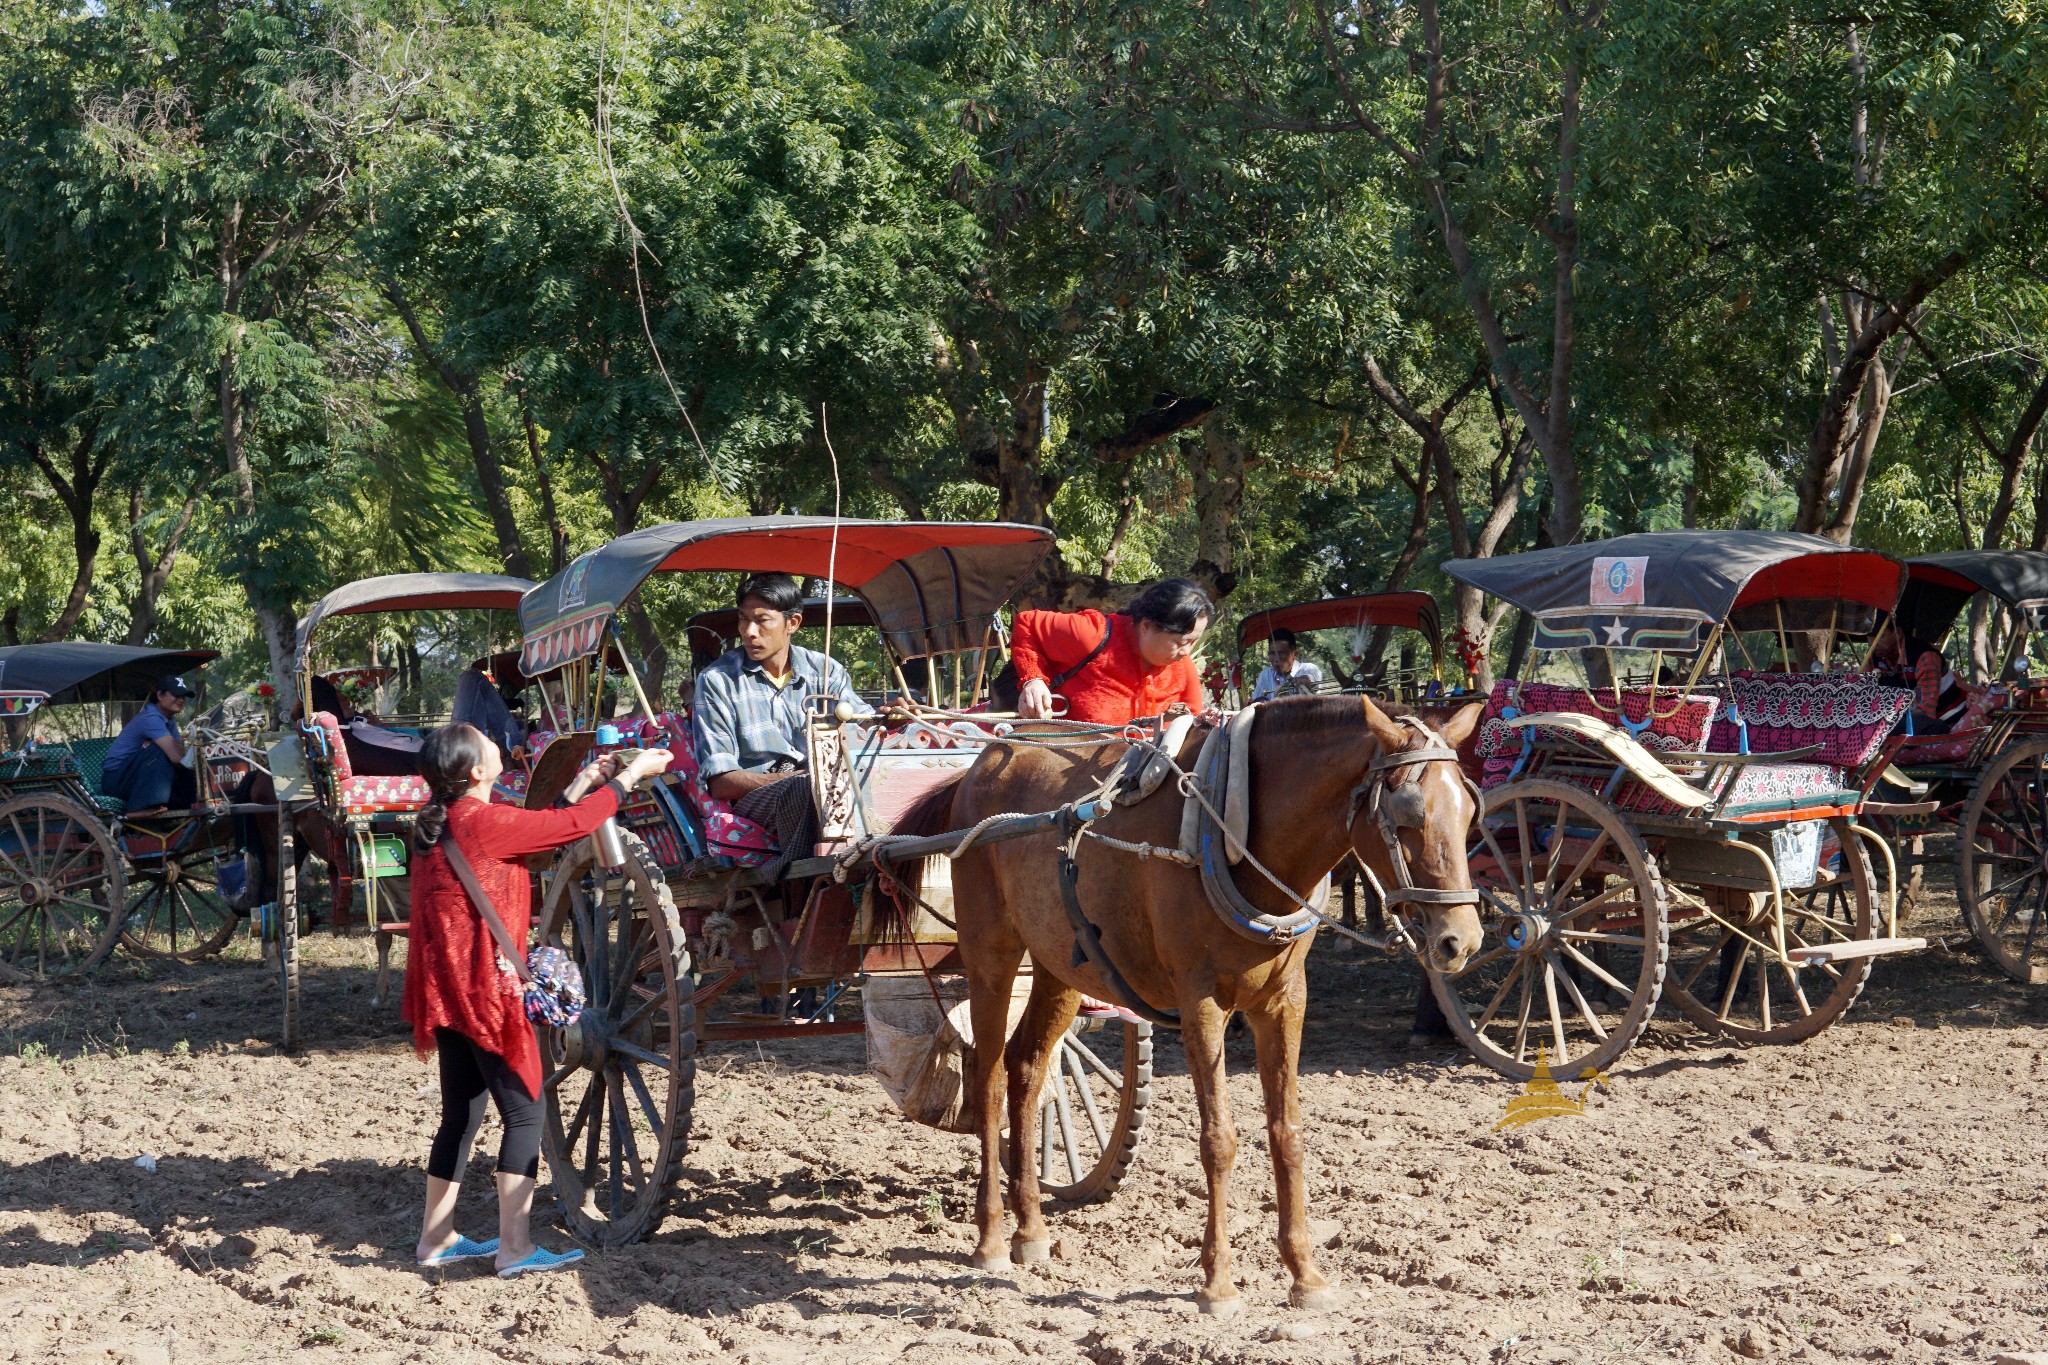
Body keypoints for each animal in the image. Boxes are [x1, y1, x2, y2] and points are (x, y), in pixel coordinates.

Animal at [888, 699, 1482, 1317]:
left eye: (1470, 813)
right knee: (988, 1078)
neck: (1234, 829)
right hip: (992, 952)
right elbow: (1218, 1140)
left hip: (1059, 965)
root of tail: (985, 758)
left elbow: (1288, 1132)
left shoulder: (1285, 1002)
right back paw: (991, 1238)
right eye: (1408, 814)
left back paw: (1030, 1229)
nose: (1461, 940)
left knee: (1027, 1068)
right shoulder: (1202, 1004)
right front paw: (1218, 1282)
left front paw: (1305, 1275)